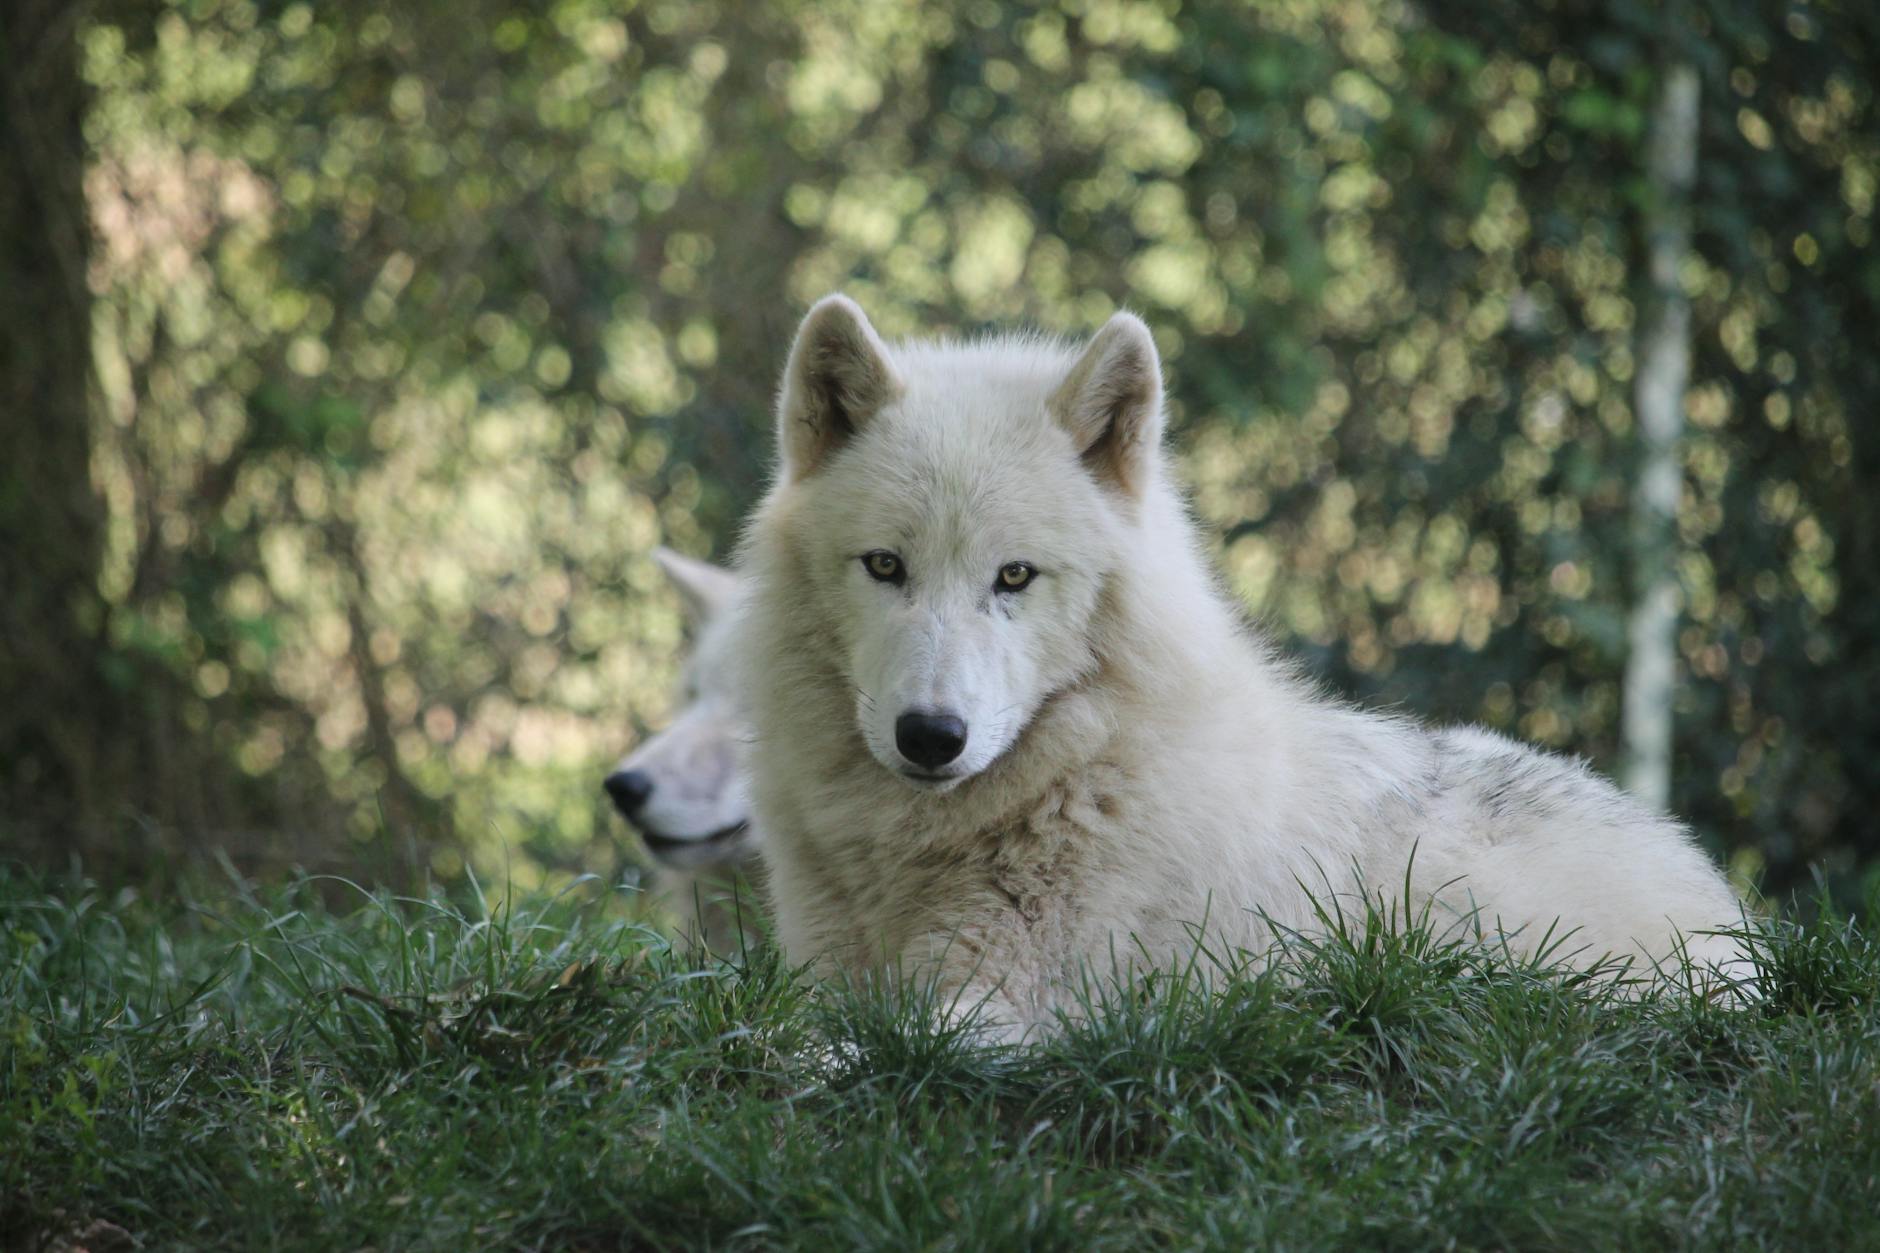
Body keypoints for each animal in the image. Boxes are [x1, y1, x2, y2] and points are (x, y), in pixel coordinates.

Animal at [734, 294, 1750, 1038]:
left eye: (1014, 575)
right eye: (885, 566)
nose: (931, 736)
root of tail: (1723, 902)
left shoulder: (1016, 1011)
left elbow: (835, 1051)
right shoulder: (827, 973)